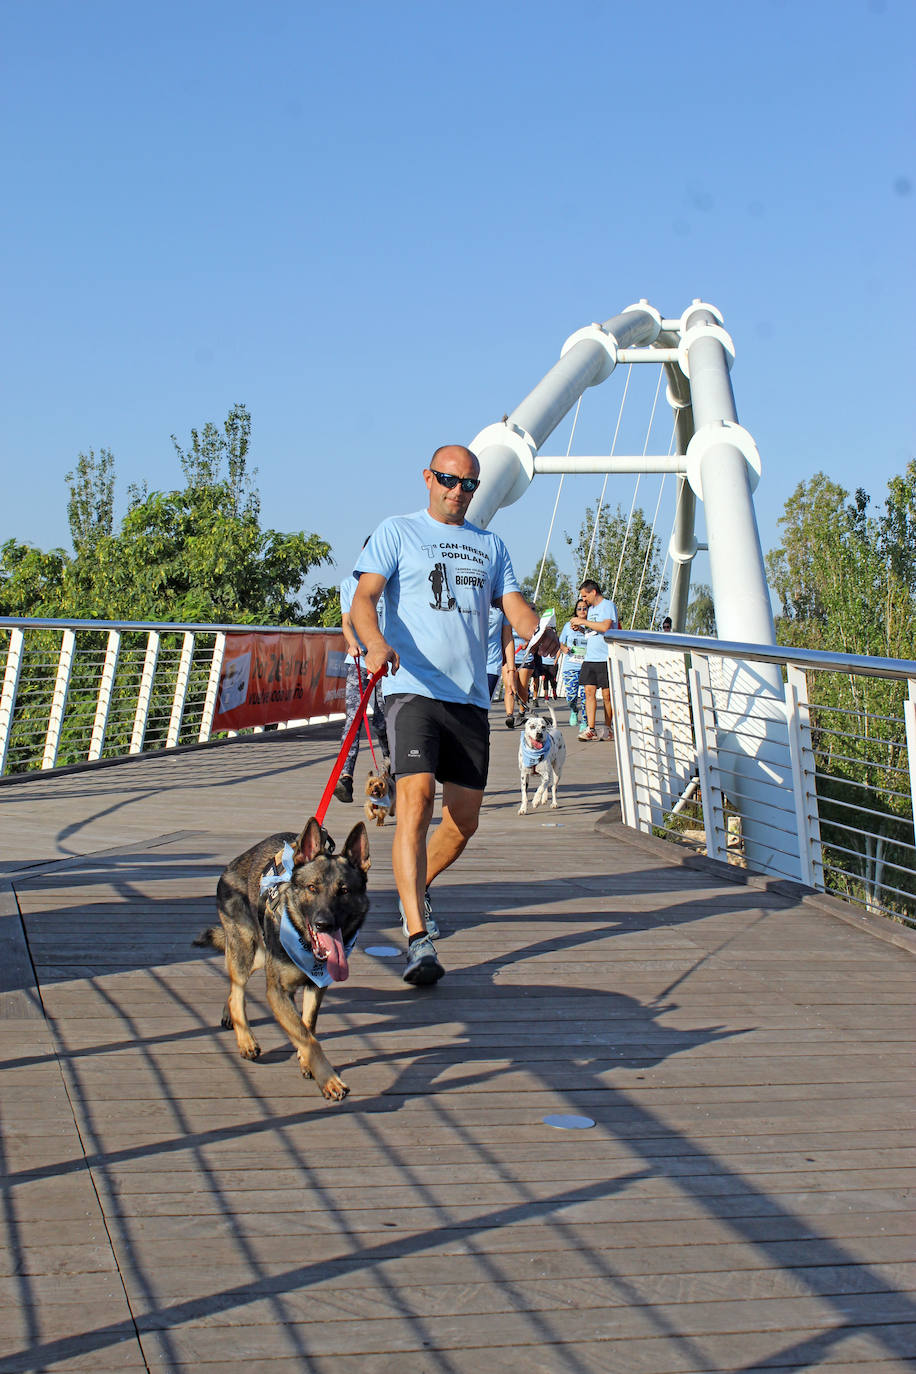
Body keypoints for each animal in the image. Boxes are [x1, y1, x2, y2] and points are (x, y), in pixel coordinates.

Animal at [193, 813, 368, 1104]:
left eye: (344, 891)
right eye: (312, 888)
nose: (323, 924)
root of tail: (234, 863)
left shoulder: (316, 987)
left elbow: (307, 1025)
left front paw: (307, 1063)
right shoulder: (276, 992)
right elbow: (308, 1038)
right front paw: (329, 1080)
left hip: (259, 954)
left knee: (234, 986)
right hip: (246, 947)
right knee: (237, 990)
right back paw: (246, 1039)